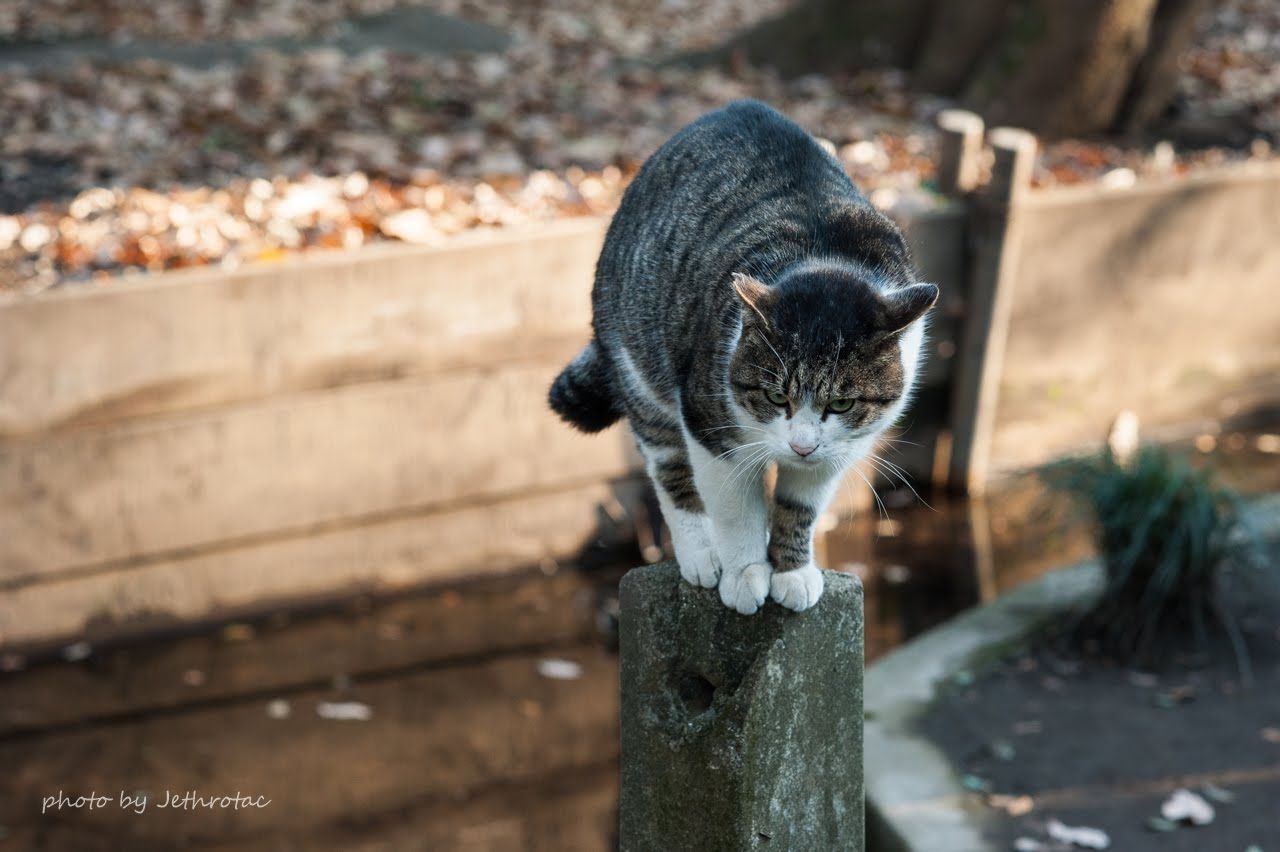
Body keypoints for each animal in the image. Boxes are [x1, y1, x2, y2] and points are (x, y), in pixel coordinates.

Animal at [545, 101, 936, 611]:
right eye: (775, 397)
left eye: (842, 403)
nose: (801, 446)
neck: (827, 254)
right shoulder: (710, 426)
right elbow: (735, 513)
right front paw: (746, 574)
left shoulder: (842, 447)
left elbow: (800, 508)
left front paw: (792, 571)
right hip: (640, 367)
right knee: (667, 468)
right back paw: (699, 554)